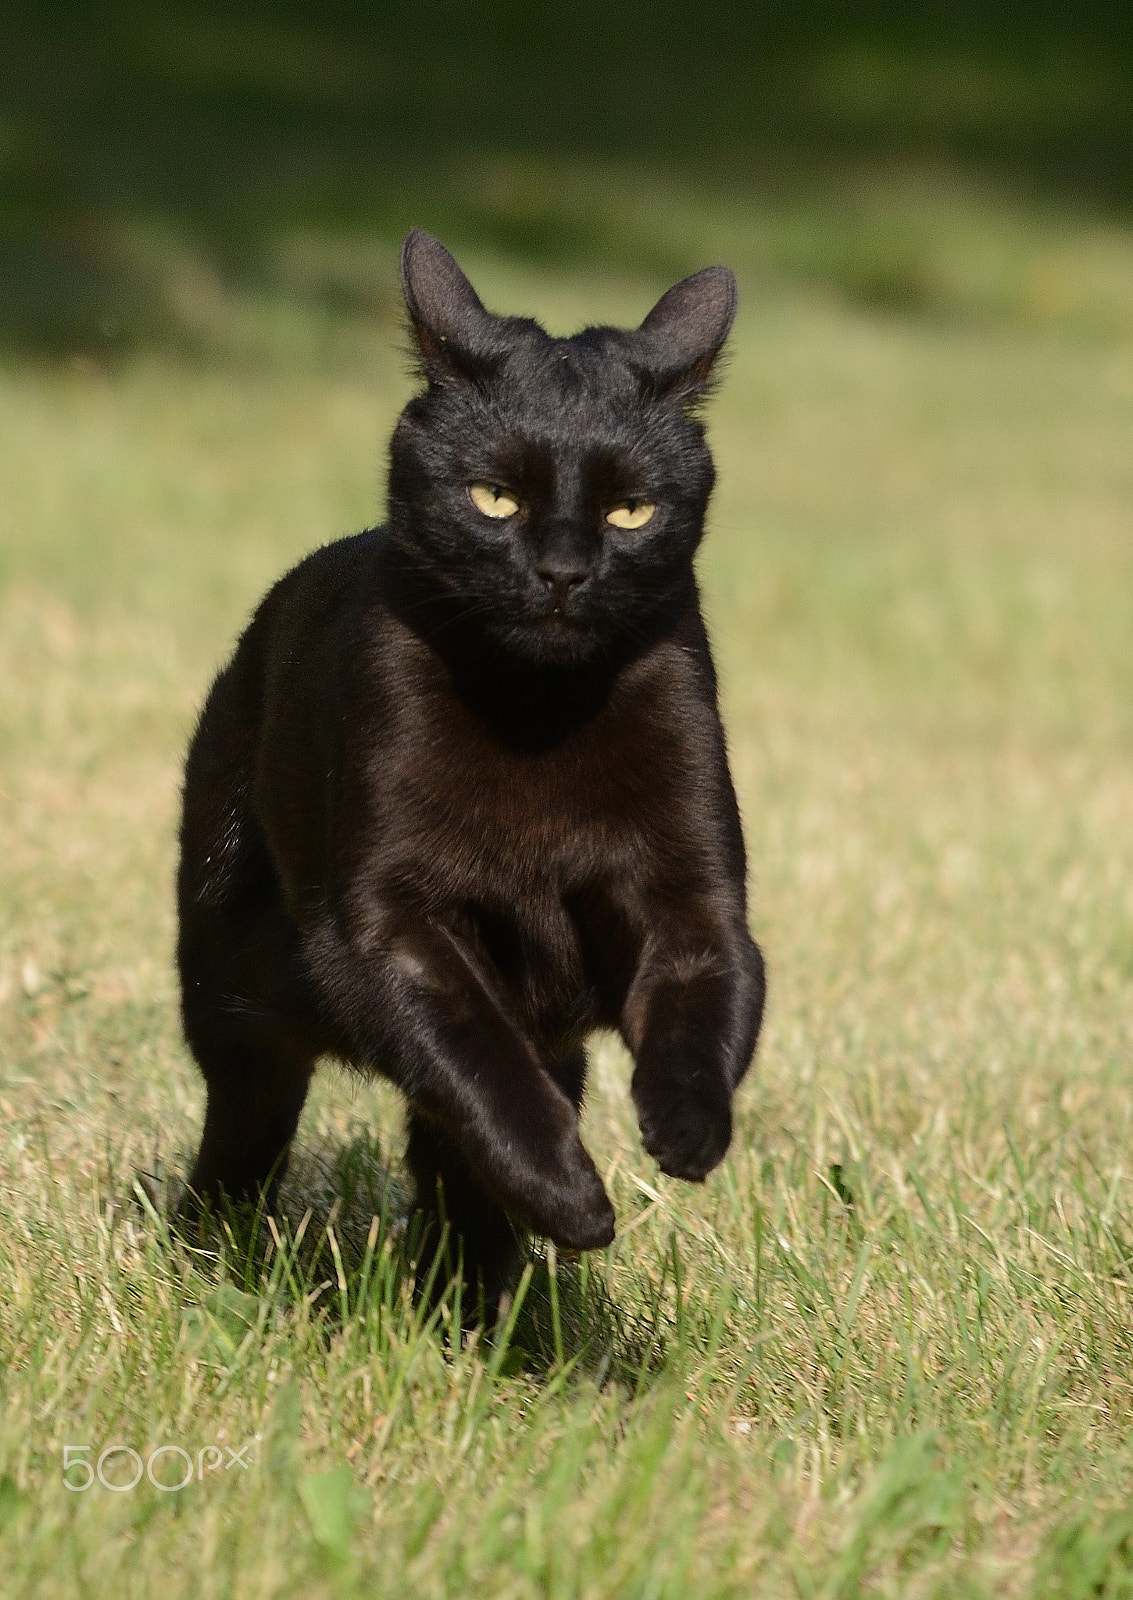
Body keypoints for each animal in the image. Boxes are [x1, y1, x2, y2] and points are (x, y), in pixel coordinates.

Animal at [176, 232, 764, 1305]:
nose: (565, 571)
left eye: (630, 510)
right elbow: (481, 1067)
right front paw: (569, 1199)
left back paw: (476, 1304)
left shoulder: (691, 903)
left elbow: (704, 1011)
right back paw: (213, 1249)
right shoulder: (388, 926)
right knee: (250, 1118)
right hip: (231, 984)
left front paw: (684, 1133)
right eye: (496, 497)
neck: (536, 713)